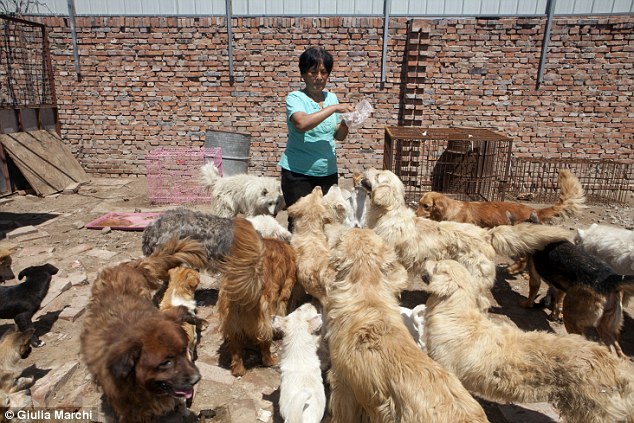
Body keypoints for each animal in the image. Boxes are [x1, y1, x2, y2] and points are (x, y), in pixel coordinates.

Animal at [216, 217, 298, 376]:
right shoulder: (285, 291)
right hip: (265, 319)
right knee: (264, 345)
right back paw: (270, 360)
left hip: (232, 325)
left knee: (236, 350)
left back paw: (238, 370)